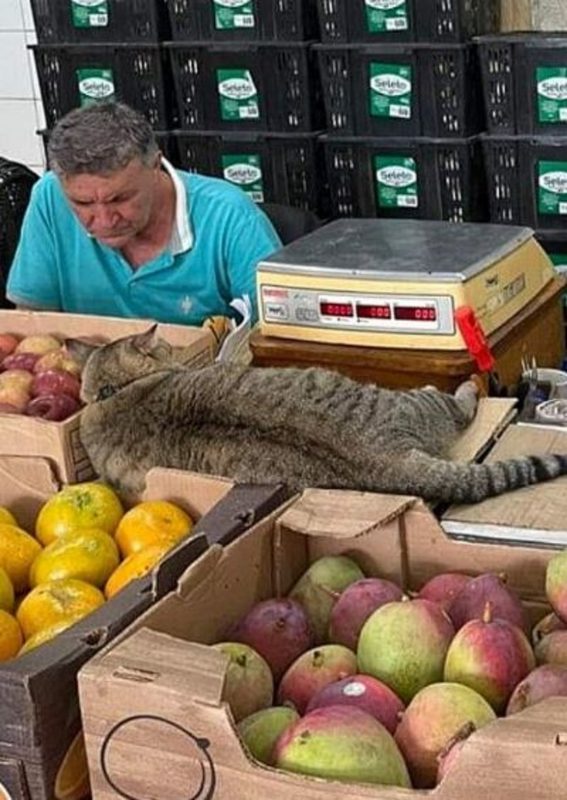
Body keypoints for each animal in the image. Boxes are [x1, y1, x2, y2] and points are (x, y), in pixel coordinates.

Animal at [64, 324, 567, 500]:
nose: (172, 349)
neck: (114, 393)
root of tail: (387, 461)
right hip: (411, 401)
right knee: (455, 404)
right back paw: (466, 386)